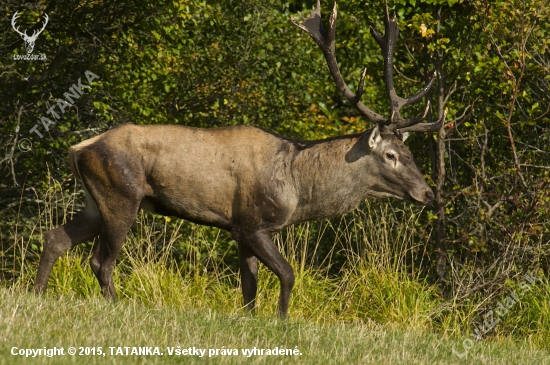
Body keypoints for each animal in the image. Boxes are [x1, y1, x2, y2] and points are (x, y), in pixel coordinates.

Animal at [33, 1, 448, 316]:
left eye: (409, 152)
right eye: (391, 154)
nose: (429, 194)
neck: (298, 189)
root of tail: (79, 149)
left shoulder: (240, 229)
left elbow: (249, 286)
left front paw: (251, 319)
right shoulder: (251, 223)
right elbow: (287, 273)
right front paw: (282, 319)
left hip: (96, 200)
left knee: (55, 238)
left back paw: (36, 294)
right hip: (122, 193)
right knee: (101, 261)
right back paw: (117, 306)